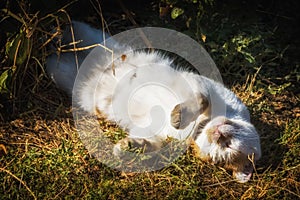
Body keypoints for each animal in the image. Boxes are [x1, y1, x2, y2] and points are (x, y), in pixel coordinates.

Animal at [46, 20, 260, 183]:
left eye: (226, 147)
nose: (217, 135)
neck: (200, 127)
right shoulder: (201, 83)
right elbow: (202, 100)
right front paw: (179, 116)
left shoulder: (155, 132)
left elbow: (149, 144)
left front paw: (127, 147)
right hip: (91, 36)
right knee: (73, 32)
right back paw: (54, 34)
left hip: (62, 74)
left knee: (55, 58)